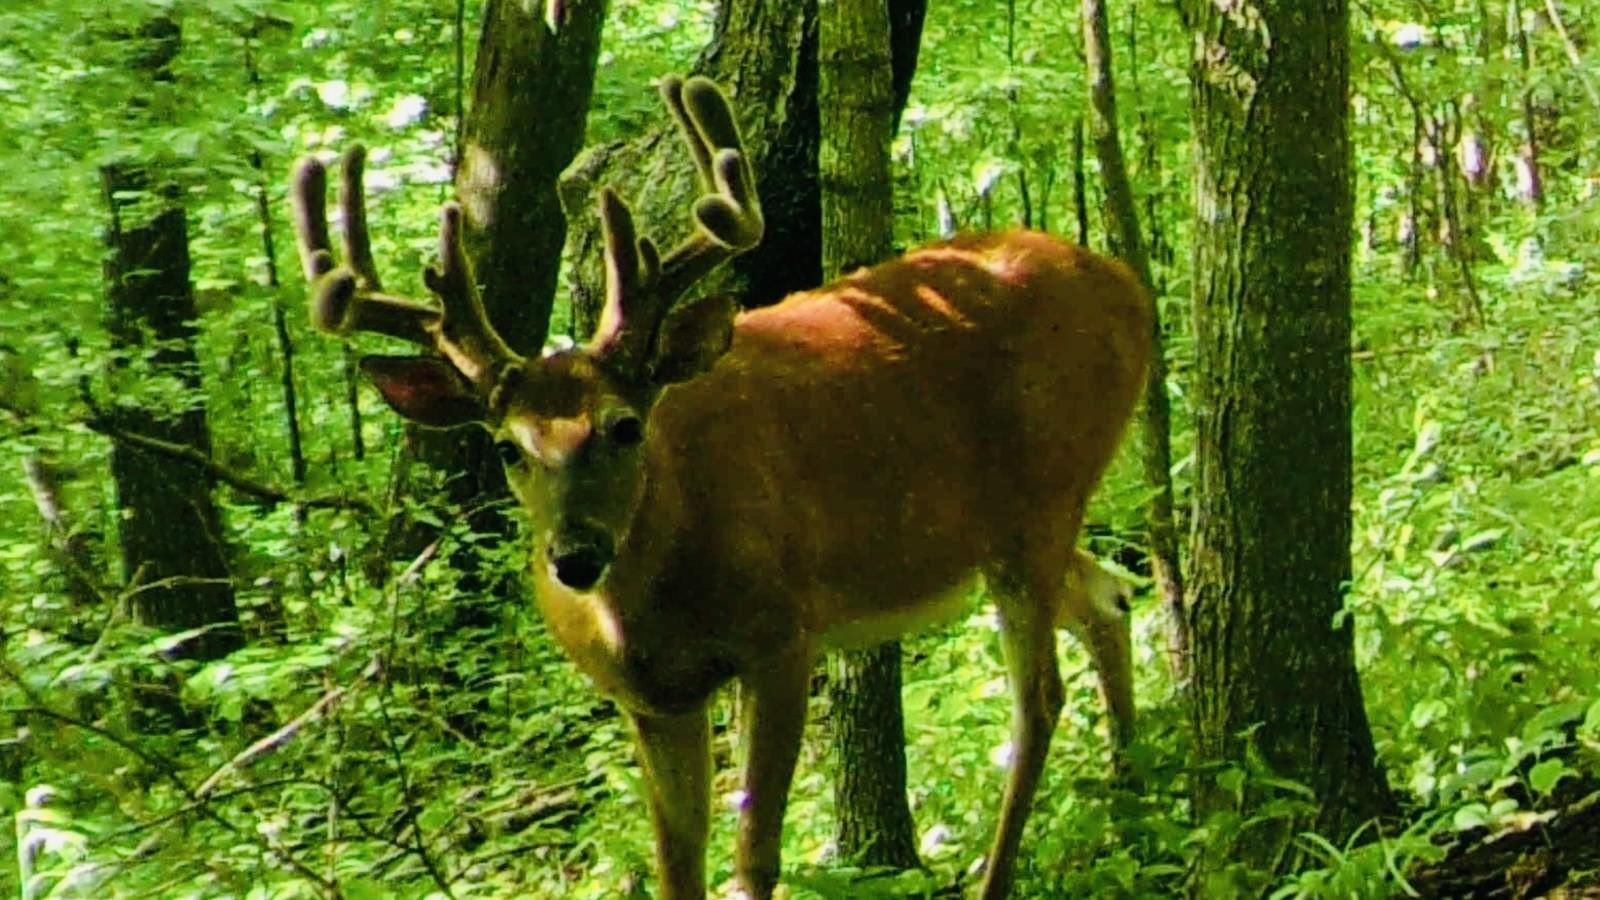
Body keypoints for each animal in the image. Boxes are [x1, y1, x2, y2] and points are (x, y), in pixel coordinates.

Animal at [288, 75, 1152, 896]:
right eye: (507, 448)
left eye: (624, 425)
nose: (573, 556)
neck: (650, 604)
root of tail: (1124, 283)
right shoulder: (653, 699)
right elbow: (678, 869)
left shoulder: (780, 636)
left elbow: (754, 856)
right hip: (1000, 531)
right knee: (1108, 597)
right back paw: (1133, 805)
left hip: (1044, 497)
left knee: (1038, 697)